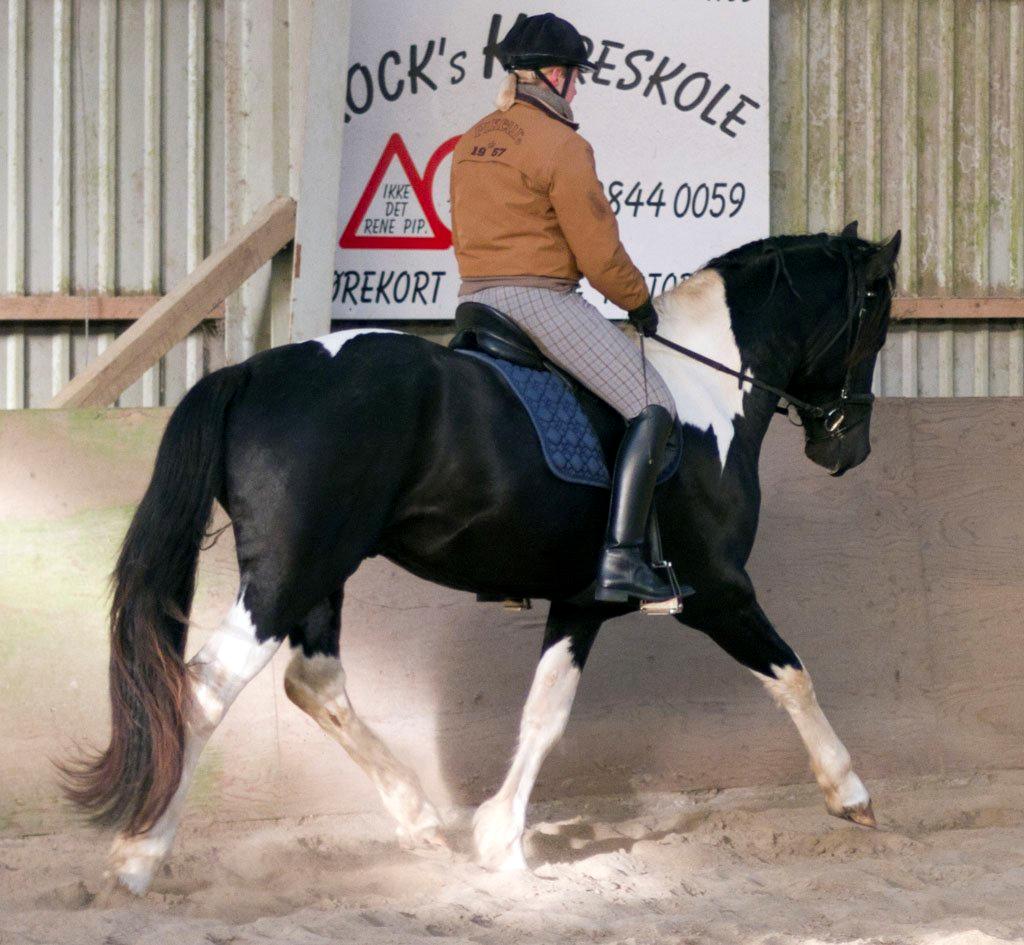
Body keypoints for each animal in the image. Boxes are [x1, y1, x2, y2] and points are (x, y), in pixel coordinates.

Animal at [61, 222, 897, 892]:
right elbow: (793, 674)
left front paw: (499, 839)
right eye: (876, 319)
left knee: (313, 681)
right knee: (208, 687)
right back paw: (138, 857)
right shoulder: (719, 590)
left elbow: (545, 710)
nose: (848, 448)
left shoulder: (584, 598)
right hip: (289, 570)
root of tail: (251, 371)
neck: (704, 385)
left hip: (320, 570)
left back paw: (422, 820)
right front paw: (850, 792)